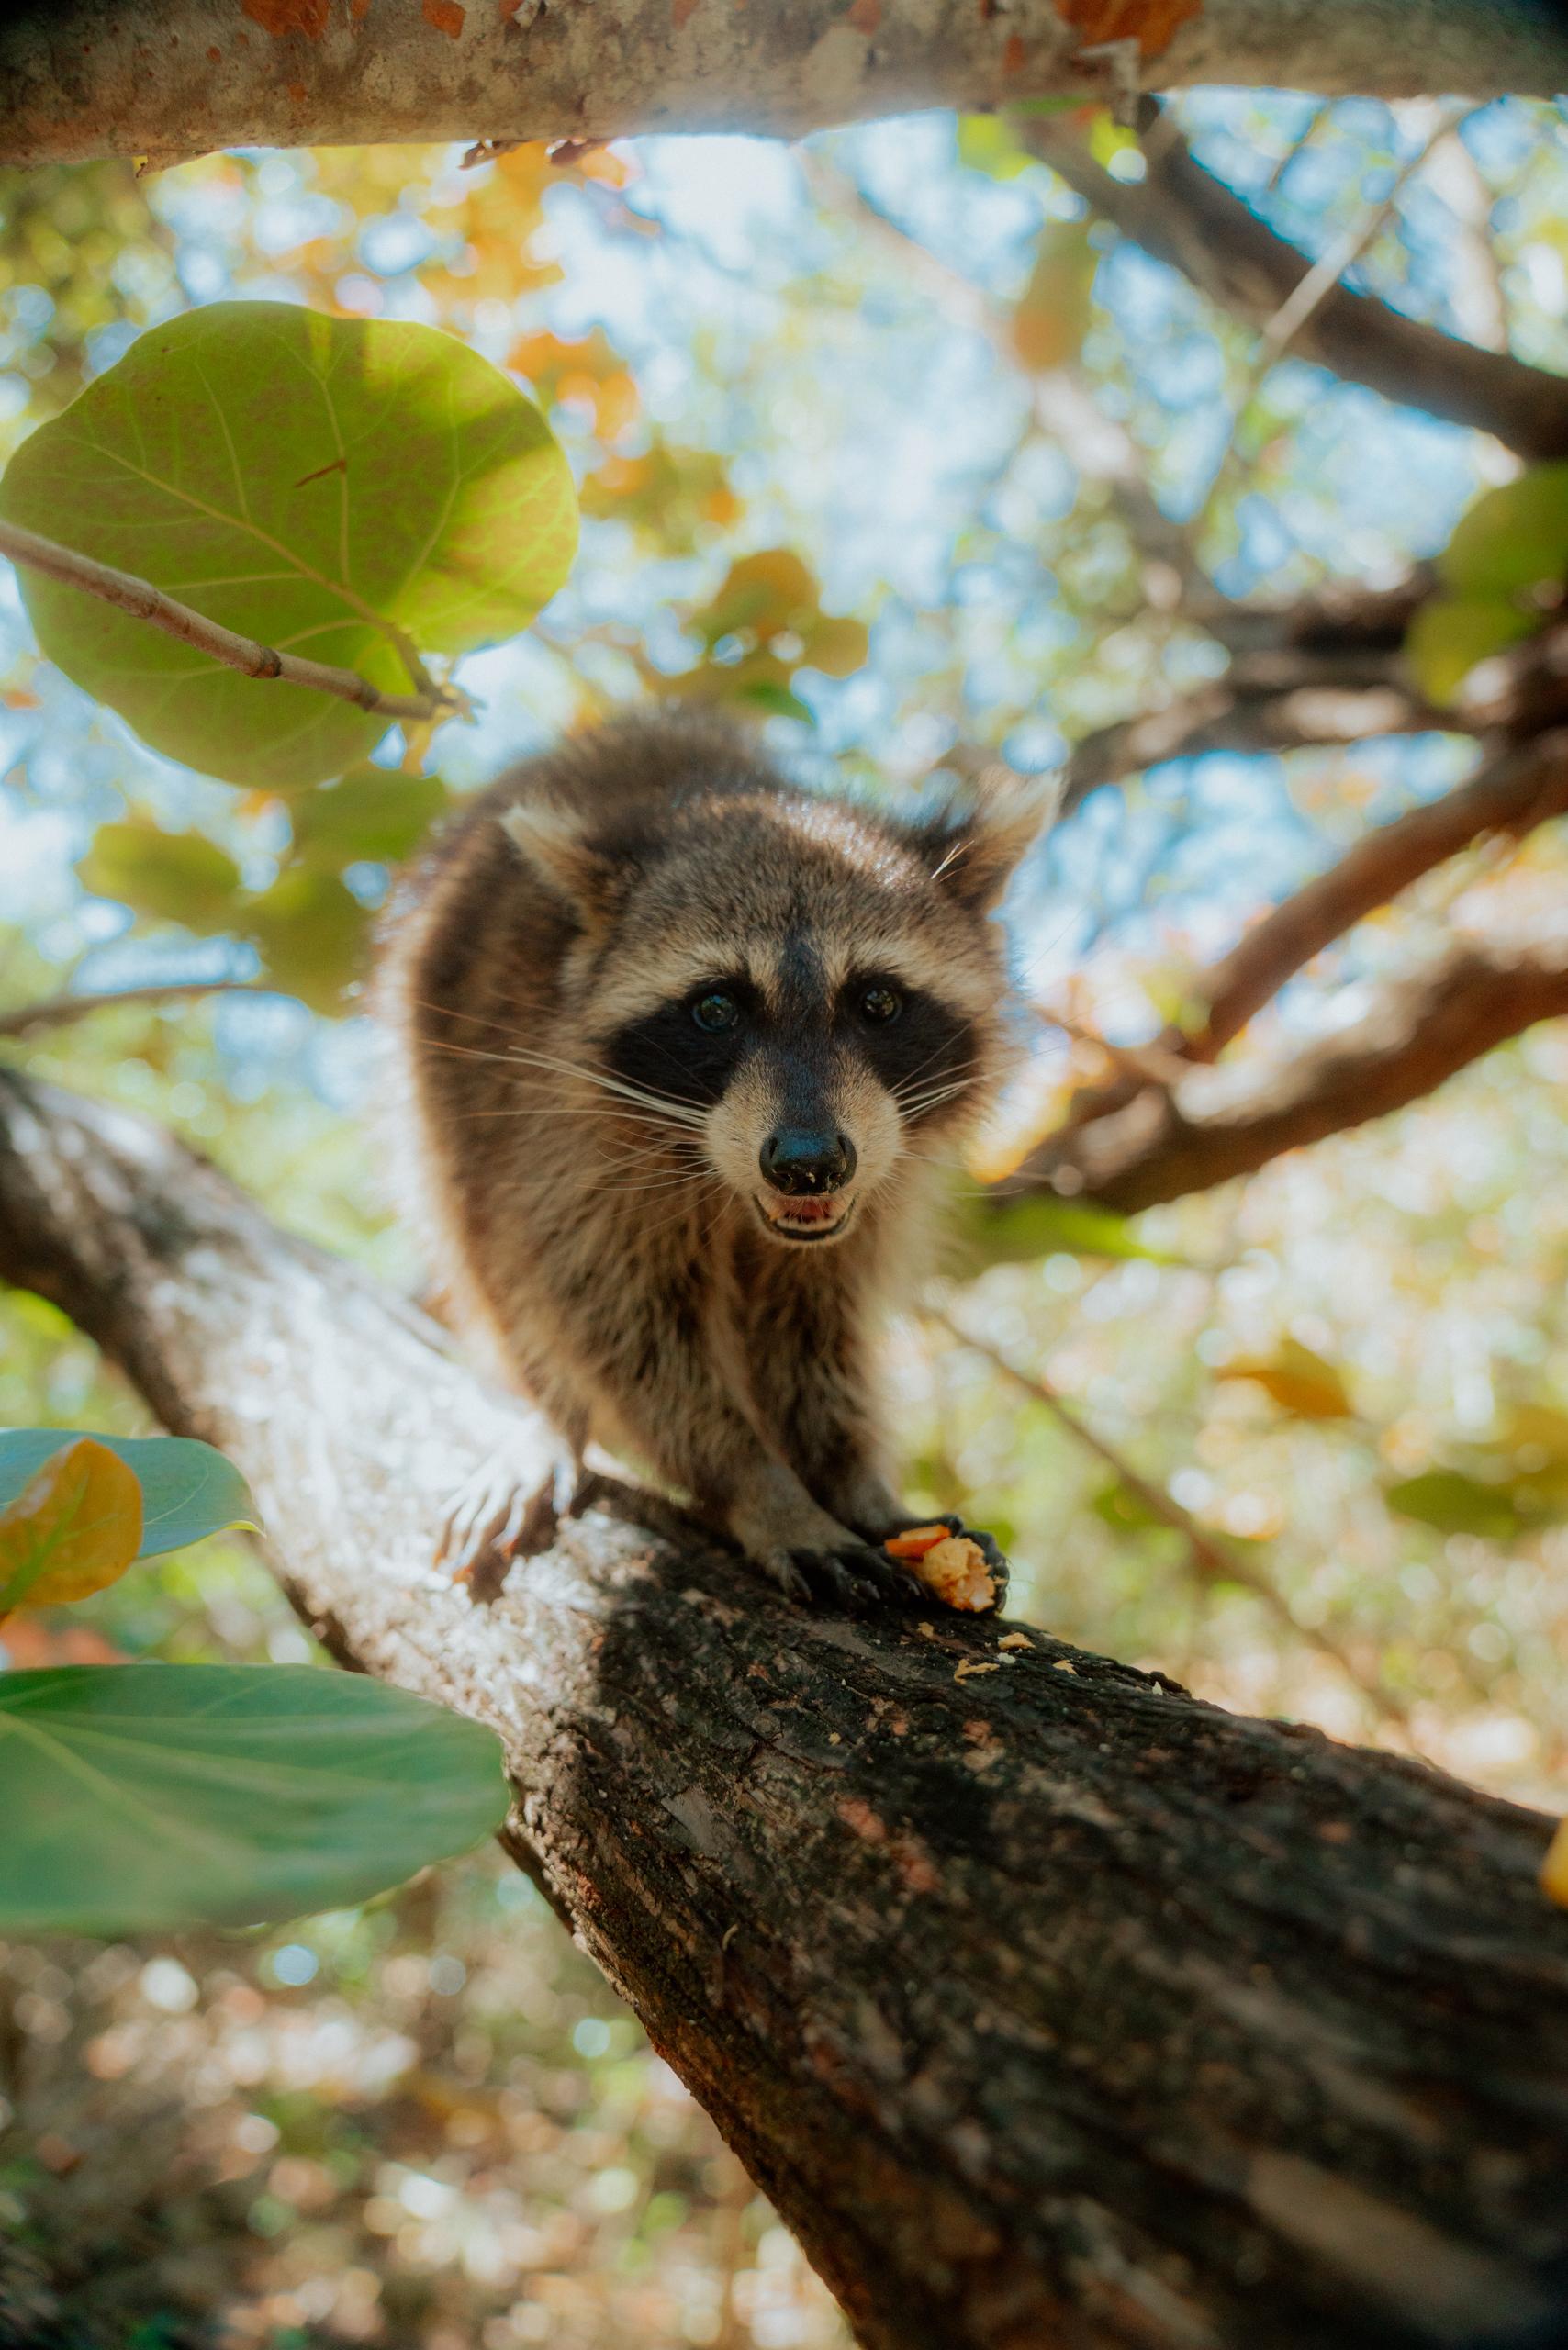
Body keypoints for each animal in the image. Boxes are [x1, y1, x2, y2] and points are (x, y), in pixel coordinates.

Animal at [377, 711, 1048, 1610]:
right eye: (717, 1008)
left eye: (877, 1001)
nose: (807, 1164)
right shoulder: (562, 1135)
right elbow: (614, 1320)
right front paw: (757, 1484)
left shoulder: (878, 1183)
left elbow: (816, 1329)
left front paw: (848, 1475)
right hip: (436, 1085)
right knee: (487, 1252)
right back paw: (551, 1415)